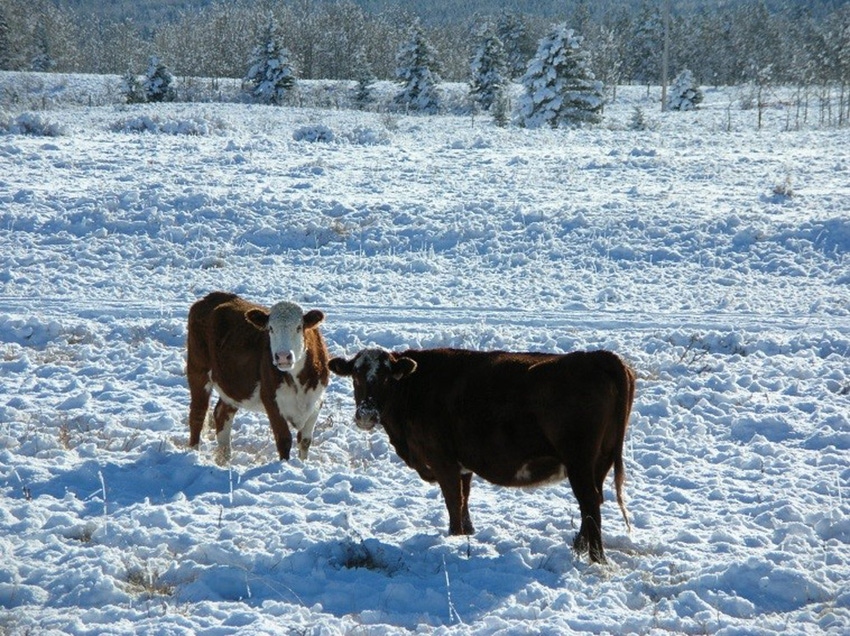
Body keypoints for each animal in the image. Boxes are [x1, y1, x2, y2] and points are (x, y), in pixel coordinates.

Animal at [186, 292, 328, 462]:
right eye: (270, 328)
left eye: (299, 327)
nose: (282, 356)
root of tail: (210, 297)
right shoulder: (271, 400)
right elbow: (284, 440)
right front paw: (284, 465)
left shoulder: (316, 401)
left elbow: (305, 441)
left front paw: (301, 464)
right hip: (198, 369)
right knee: (198, 413)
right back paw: (194, 453)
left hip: (233, 385)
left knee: (221, 414)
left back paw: (225, 459)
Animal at [328, 348, 632, 560]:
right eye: (355, 375)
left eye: (387, 377)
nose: (366, 414)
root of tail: (598, 357)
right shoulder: (463, 466)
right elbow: (464, 503)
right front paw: (468, 536)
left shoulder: (443, 461)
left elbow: (454, 503)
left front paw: (454, 539)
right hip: (599, 461)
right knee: (593, 503)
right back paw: (579, 547)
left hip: (579, 461)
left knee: (589, 503)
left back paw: (596, 558)